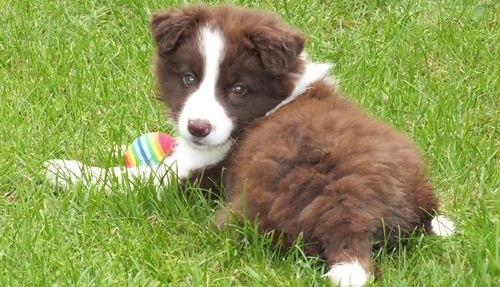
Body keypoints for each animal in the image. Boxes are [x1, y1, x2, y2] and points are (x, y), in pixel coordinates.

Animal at [45, 5, 456, 287]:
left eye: (238, 88)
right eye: (188, 79)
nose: (198, 127)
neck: (275, 102)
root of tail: (352, 223)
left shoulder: (195, 175)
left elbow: (128, 179)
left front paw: (66, 169)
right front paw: (123, 146)